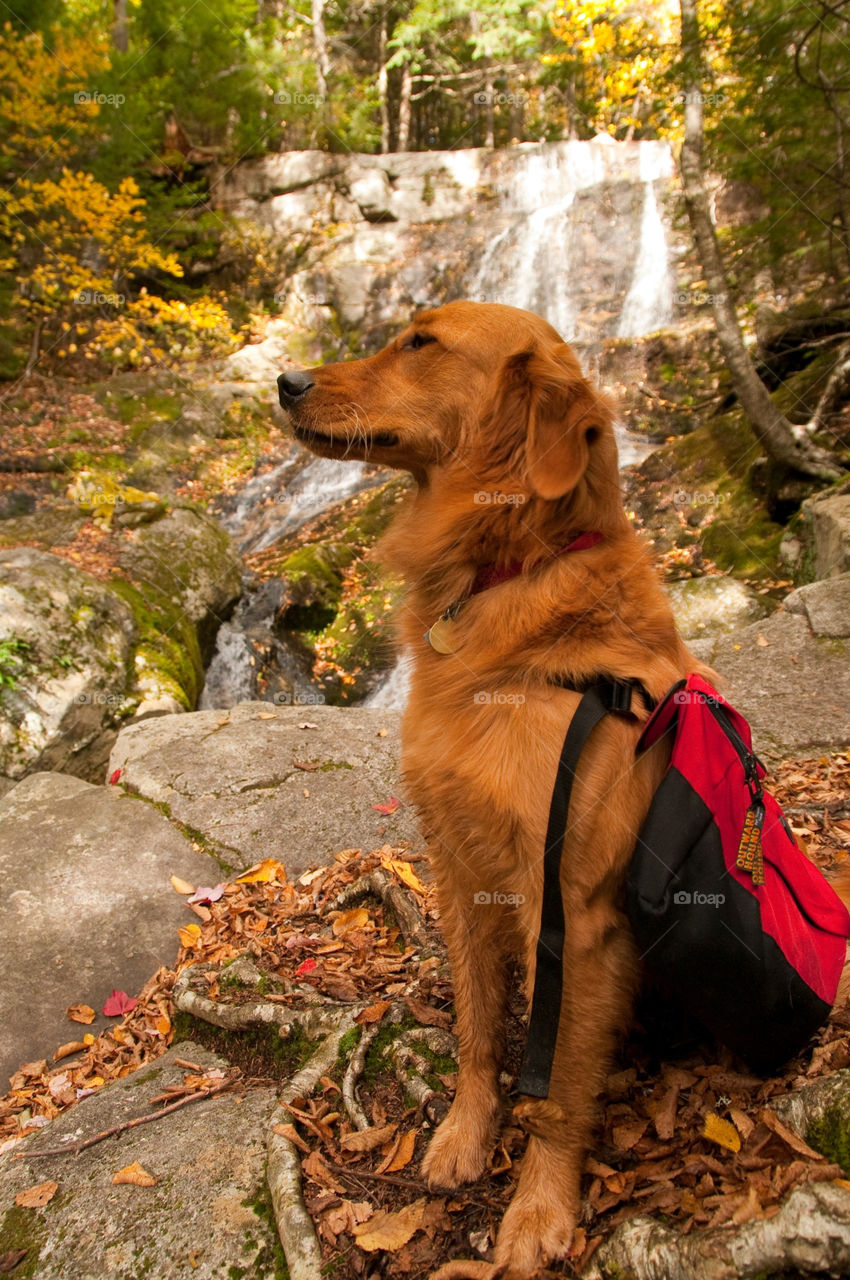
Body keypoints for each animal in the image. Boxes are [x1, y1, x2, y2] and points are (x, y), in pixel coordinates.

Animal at [279, 299, 701, 1269]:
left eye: (421, 343)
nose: (285, 380)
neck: (510, 568)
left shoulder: (570, 911)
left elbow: (555, 1089)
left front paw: (539, 1210)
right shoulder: (460, 870)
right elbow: (478, 1029)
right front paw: (466, 1135)